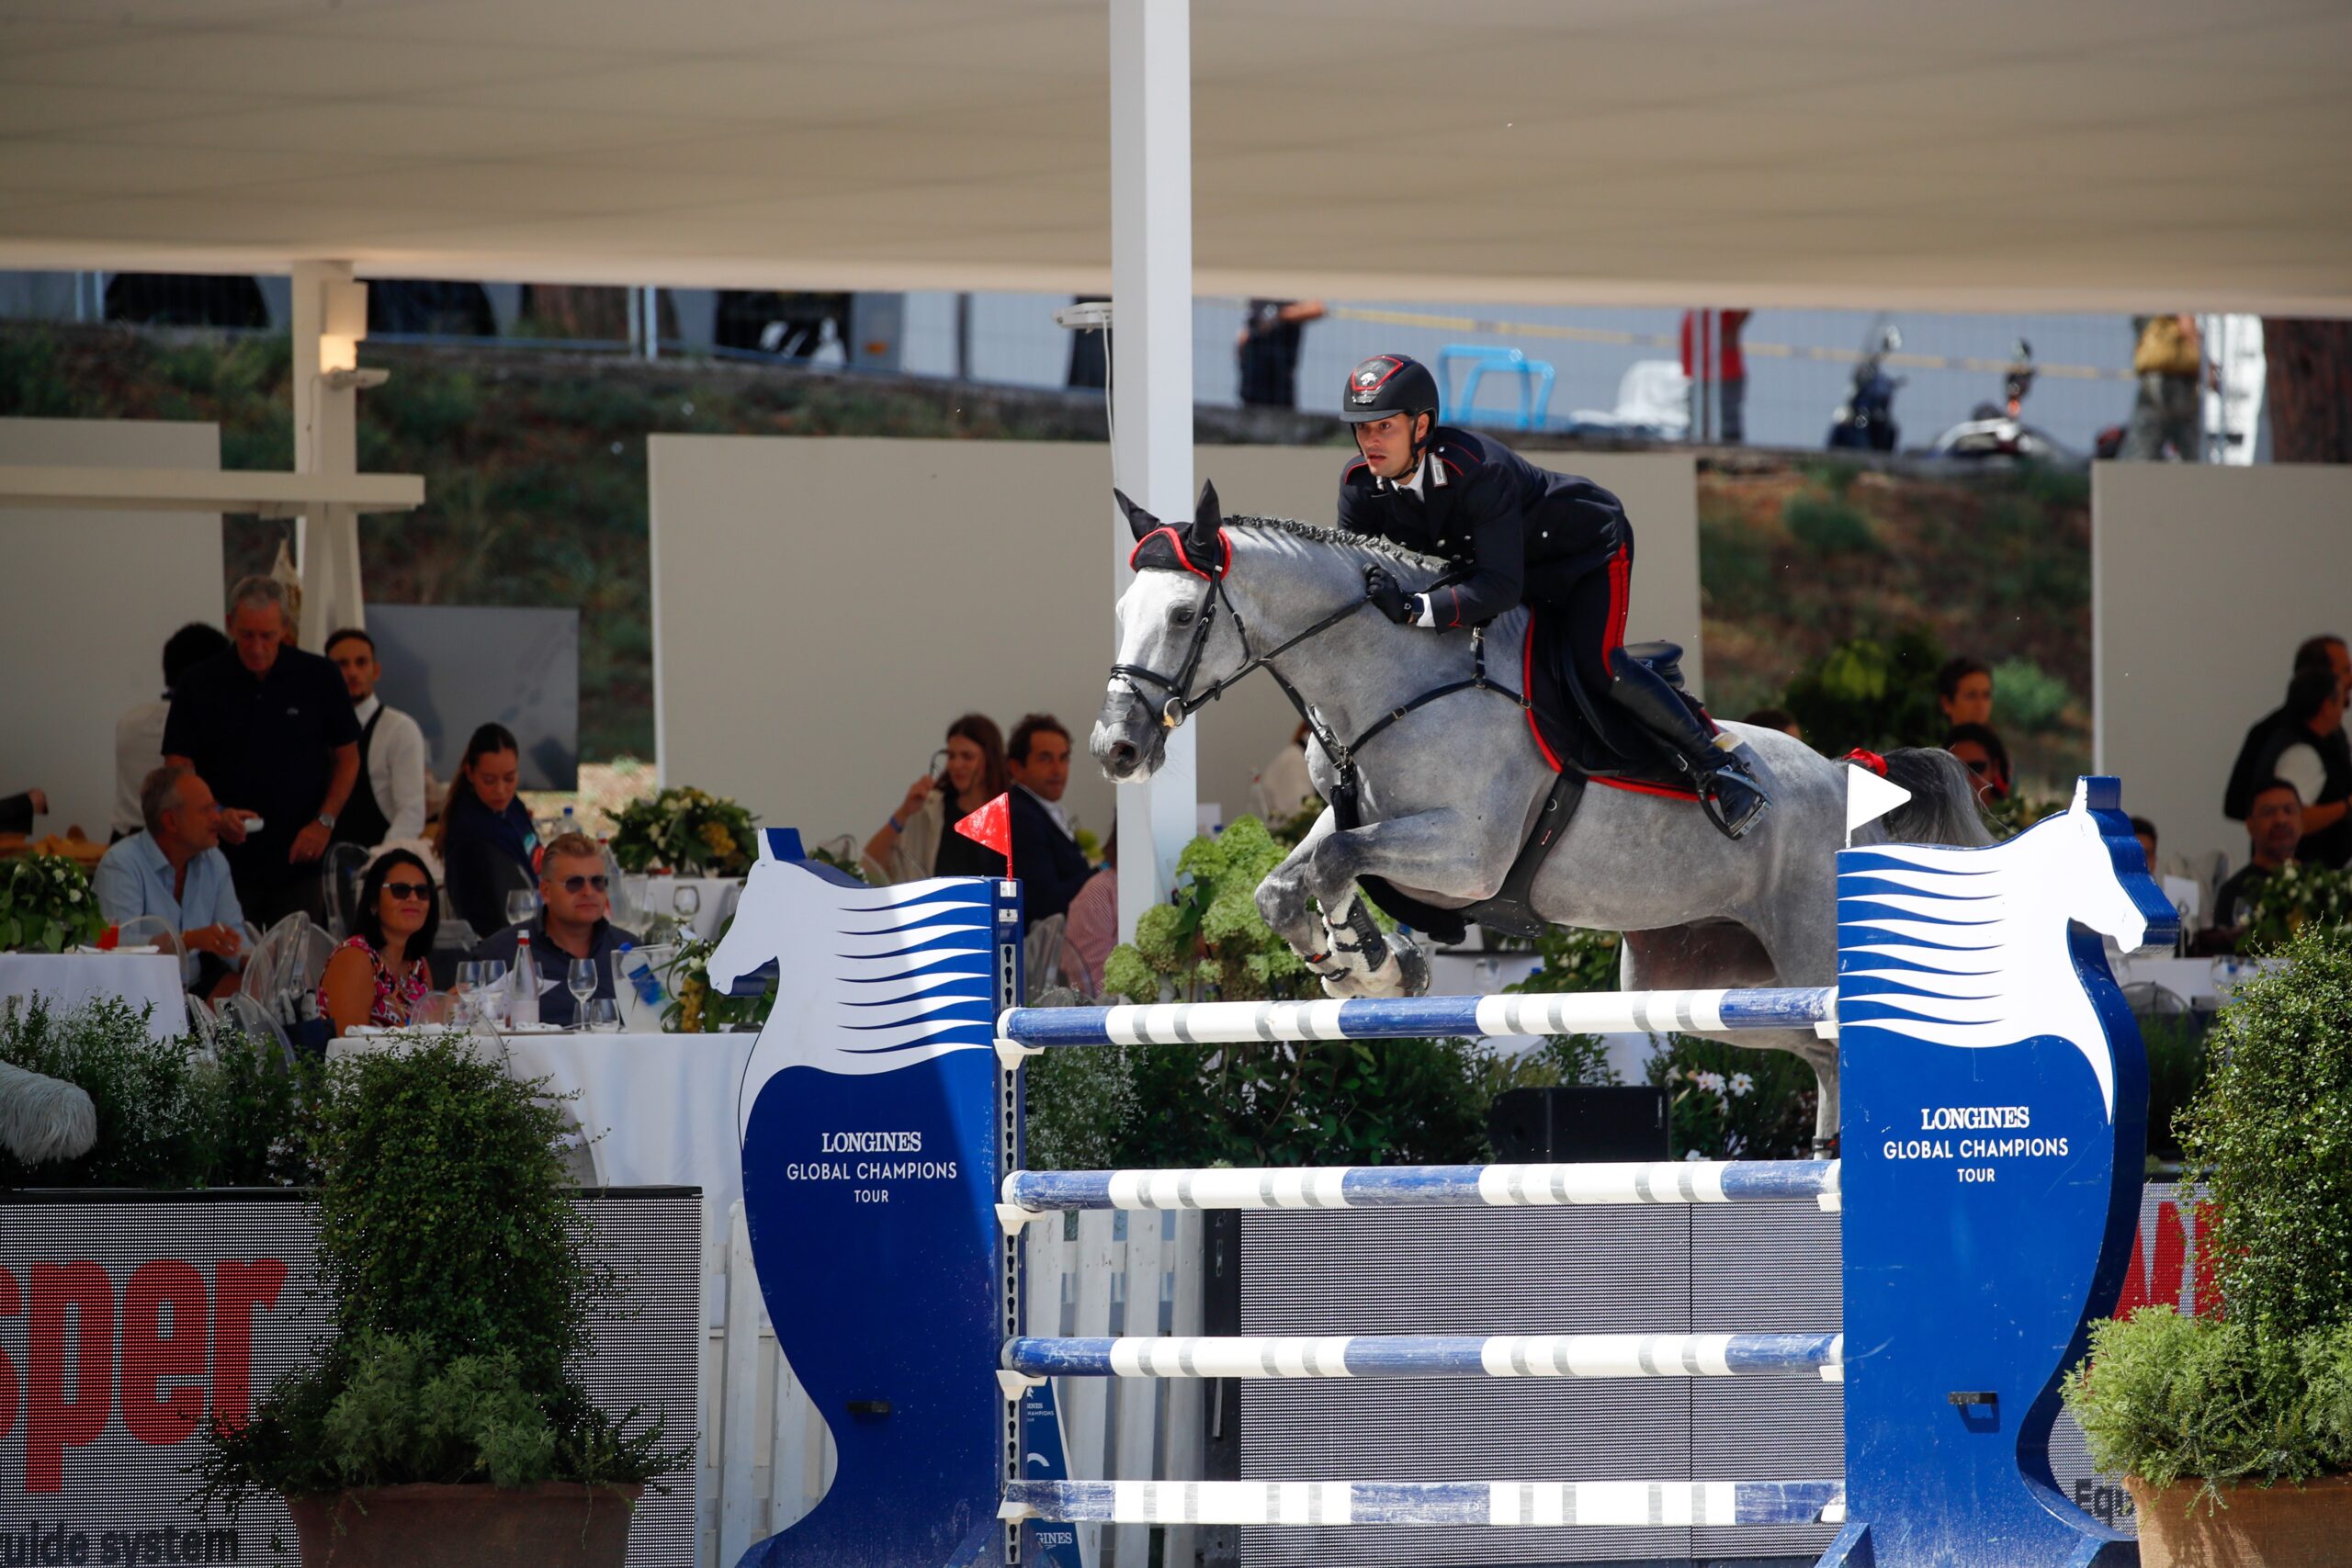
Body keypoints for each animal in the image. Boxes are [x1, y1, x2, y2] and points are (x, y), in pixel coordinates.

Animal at [1090, 485, 1990, 1152]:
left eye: (1182, 616)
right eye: (1123, 609)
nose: (1115, 748)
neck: (1387, 678)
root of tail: (1849, 778)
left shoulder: (1469, 856)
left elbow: (1341, 860)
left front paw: (1373, 963)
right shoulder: (1351, 815)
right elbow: (1292, 880)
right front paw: (1365, 963)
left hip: (1811, 955)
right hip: (1702, 984)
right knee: (1823, 1054)